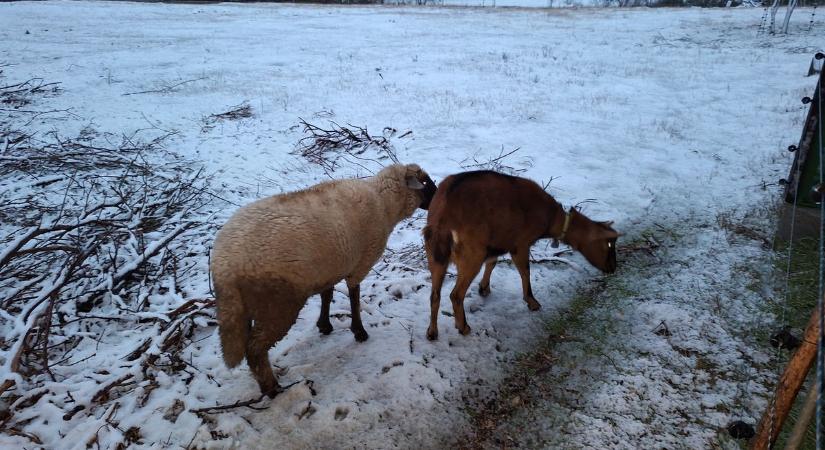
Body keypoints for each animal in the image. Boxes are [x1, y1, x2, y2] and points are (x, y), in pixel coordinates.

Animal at [212, 163, 438, 396]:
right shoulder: (359, 265)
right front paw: (359, 331)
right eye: (425, 182)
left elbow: (327, 295)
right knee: (255, 348)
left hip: (244, 308)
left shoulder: (330, 268)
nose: (439, 198)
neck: (384, 203)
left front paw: (324, 325)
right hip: (277, 304)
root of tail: (223, 267)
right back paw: (272, 388)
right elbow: (354, 297)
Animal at [422, 171, 616, 340]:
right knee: (455, 295)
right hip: (471, 254)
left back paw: (432, 332)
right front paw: (532, 302)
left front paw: (484, 288)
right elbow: (525, 271)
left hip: (435, 253)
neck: (551, 218)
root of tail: (445, 214)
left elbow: (492, 263)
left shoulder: (496, 242)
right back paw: (463, 327)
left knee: (435, 295)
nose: (613, 268)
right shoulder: (520, 243)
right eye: (609, 243)